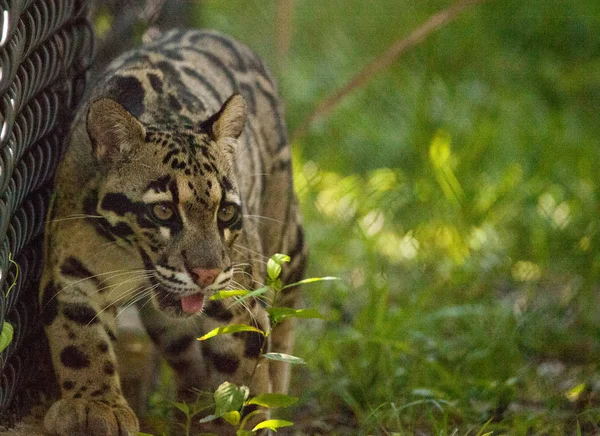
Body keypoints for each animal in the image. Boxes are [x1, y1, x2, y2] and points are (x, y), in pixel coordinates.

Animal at [39, 29, 308, 434]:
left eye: (226, 212)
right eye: (163, 210)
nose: (207, 274)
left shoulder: (239, 295)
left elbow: (245, 373)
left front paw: (251, 421)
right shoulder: (73, 271)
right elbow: (80, 340)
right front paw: (94, 404)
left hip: (283, 233)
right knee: (185, 357)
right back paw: (190, 411)